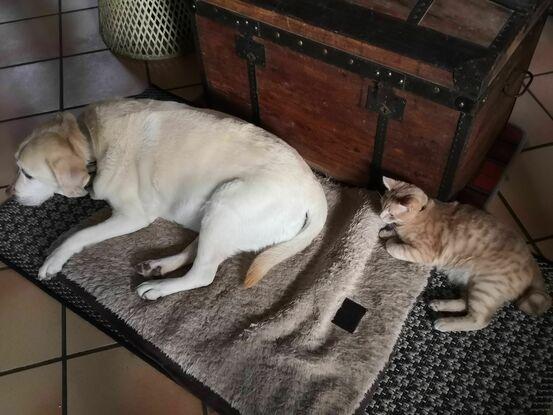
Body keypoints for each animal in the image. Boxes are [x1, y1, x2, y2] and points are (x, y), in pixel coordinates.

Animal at [11, 99, 328, 300]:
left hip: (227, 203)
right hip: (216, 212)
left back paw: (159, 288)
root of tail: (315, 191)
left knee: (203, 273)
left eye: (27, 174)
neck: (91, 140)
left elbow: (79, 235)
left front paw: (54, 259)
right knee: (198, 250)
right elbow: (74, 232)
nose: (10, 194)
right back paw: (159, 266)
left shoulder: (132, 216)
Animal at [378, 177, 548, 334]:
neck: (422, 213)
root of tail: (533, 263)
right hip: (472, 283)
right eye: (381, 204)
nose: (379, 216)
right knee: (465, 303)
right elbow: (393, 234)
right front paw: (385, 232)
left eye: (391, 213)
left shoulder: (424, 252)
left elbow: (393, 245)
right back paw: (439, 304)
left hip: (485, 287)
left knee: (480, 319)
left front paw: (390, 239)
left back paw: (444, 323)